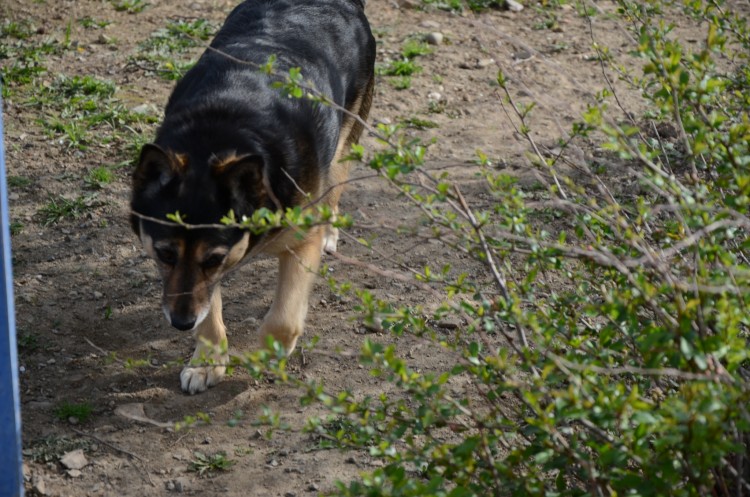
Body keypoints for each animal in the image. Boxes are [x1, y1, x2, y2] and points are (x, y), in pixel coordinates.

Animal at [131, 0, 376, 396]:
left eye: (213, 259)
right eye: (165, 254)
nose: (180, 323)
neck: (220, 134)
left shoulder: (297, 244)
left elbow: (284, 318)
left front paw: (267, 356)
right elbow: (209, 311)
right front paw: (206, 361)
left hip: (345, 138)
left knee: (336, 184)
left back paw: (330, 231)